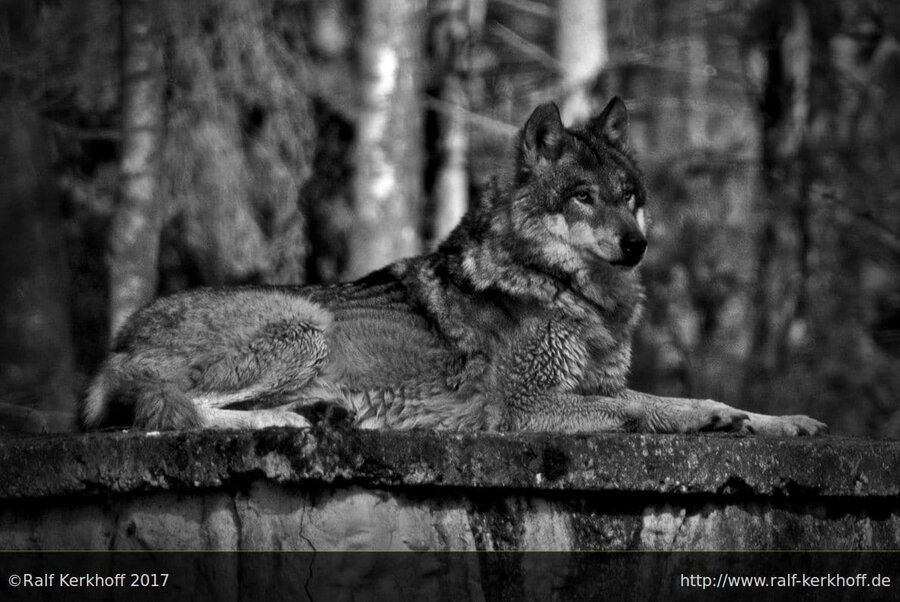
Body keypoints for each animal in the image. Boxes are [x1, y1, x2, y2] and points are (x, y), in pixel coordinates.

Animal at [82, 98, 825, 436]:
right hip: (303, 324)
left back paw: (322, 414)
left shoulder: (598, 383)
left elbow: (689, 400)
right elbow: (631, 414)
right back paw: (288, 424)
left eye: (628, 195)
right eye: (581, 197)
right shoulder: (524, 407)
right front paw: (696, 424)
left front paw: (770, 420)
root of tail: (117, 340)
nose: (635, 245)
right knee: (170, 410)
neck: (568, 292)